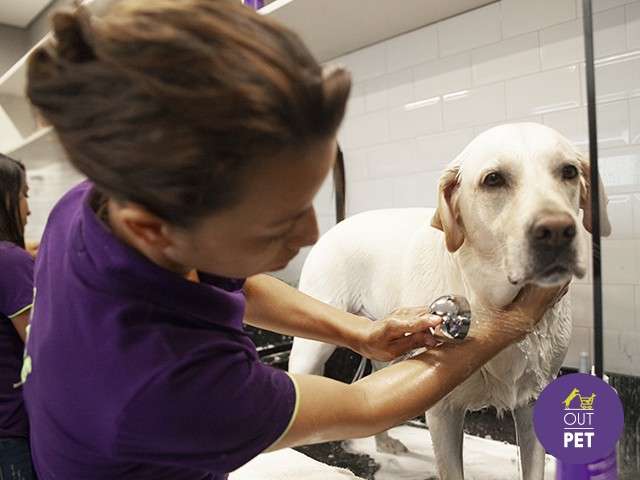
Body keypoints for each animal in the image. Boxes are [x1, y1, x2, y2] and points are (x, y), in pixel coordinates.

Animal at [288, 124, 608, 480]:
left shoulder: (532, 401)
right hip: (312, 347)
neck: (491, 299)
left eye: (569, 171)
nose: (556, 231)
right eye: (493, 179)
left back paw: (385, 443)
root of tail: (339, 225)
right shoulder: (443, 410)